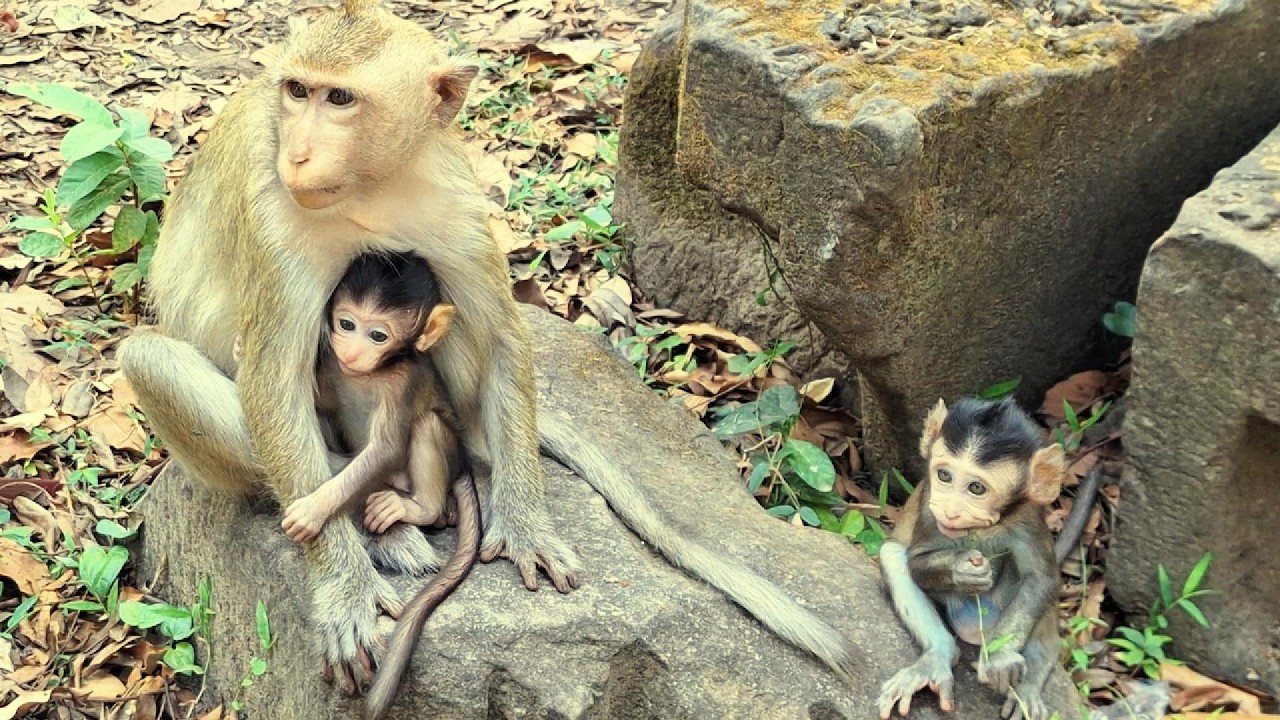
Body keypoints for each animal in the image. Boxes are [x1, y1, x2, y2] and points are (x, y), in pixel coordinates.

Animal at [117, 0, 860, 697]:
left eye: (340, 100)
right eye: (297, 91)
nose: (297, 152)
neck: (372, 186)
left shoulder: (455, 199)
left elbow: (501, 331)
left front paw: (524, 519)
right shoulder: (273, 211)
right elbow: (272, 376)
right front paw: (344, 589)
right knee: (151, 359)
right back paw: (387, 530)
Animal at [877, 396, 1102, 720]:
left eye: (976, 488)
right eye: (944, 475)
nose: (950, 511)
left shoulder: (1028, 516)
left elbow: (1042, 577)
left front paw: (1000, 657)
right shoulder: (928, 504)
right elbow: (915, 561)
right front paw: (961, 569)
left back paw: (1030, 682)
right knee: (892, 555)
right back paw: (937, 656)